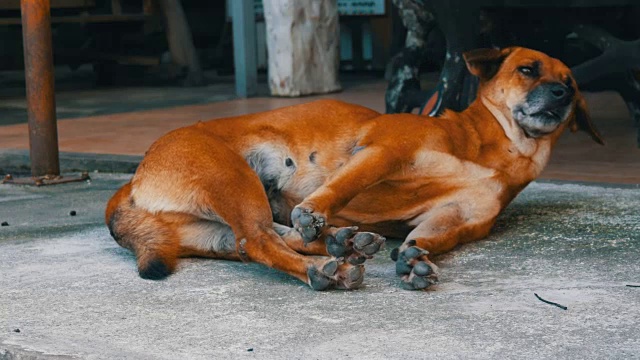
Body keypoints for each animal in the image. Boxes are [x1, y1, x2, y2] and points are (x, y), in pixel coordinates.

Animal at [106, 47, 604, 290]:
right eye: (528, 69)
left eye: (571, 83)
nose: (562, 94)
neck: (492, 149)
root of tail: (133, 180)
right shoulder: (383, 150)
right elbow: (342, 187)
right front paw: (315, 213)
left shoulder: (457, 218)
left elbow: (426, 237)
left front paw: (415, 257)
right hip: (234, 177)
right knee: (259, 241)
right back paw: (327, 265)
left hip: (221, 223)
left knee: (259, 241)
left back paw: (343, 244)